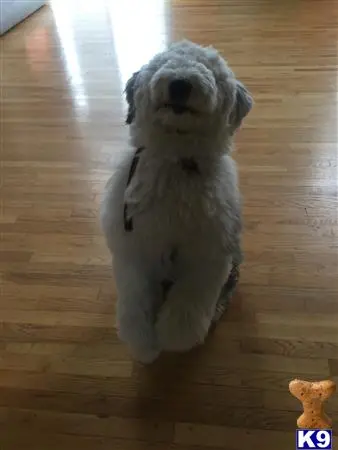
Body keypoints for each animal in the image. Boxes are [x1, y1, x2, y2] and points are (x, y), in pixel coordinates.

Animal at [101, 40, 252, 364]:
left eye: (208, 68)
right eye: (163, 63)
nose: (180, 83)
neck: (175, 162)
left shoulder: (207, 254)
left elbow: (189, 301)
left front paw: (175, 337)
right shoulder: (135, 246)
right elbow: (135, 298)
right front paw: (142, 343)